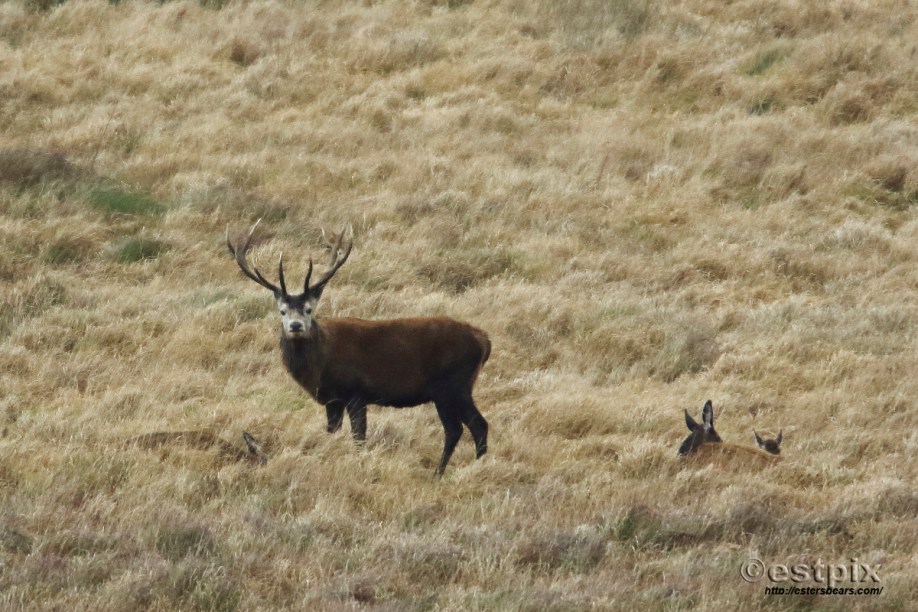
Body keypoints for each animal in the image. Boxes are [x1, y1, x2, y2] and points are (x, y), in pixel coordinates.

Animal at [226, 220, 491, 476]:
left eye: (309, 309)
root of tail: (484, 340)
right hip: (453, 388)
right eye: (282, 311)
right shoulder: (333, 399)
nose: (296, 326)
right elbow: (332, 432)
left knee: (467, 427)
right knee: (468, 426)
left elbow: (358, 437)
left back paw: (453, 472)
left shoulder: (356, 391)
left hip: (452, 385)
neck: (320, 368)